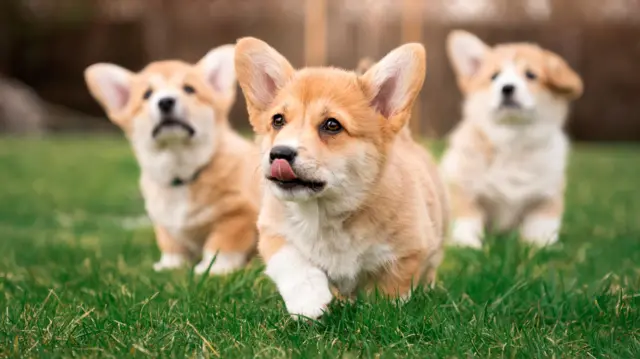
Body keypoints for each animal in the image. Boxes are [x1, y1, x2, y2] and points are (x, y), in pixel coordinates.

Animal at [232, 38, 448, 320]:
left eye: (332, 125)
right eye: (278, 120)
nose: (279, 153)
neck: (327, 214)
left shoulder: (409, 250)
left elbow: (390, 290)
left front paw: (381, 313)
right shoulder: (273, 230)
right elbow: (291, 262)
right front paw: (308, 302)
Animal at [440, 31, 584, 249]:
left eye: (531, 75)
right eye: (494, 77)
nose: (507, 88)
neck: (513, 141)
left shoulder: (545, 197)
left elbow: (542, 227)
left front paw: (542, 246)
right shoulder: (462, 188)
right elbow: (466, 221)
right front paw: (467, 246)